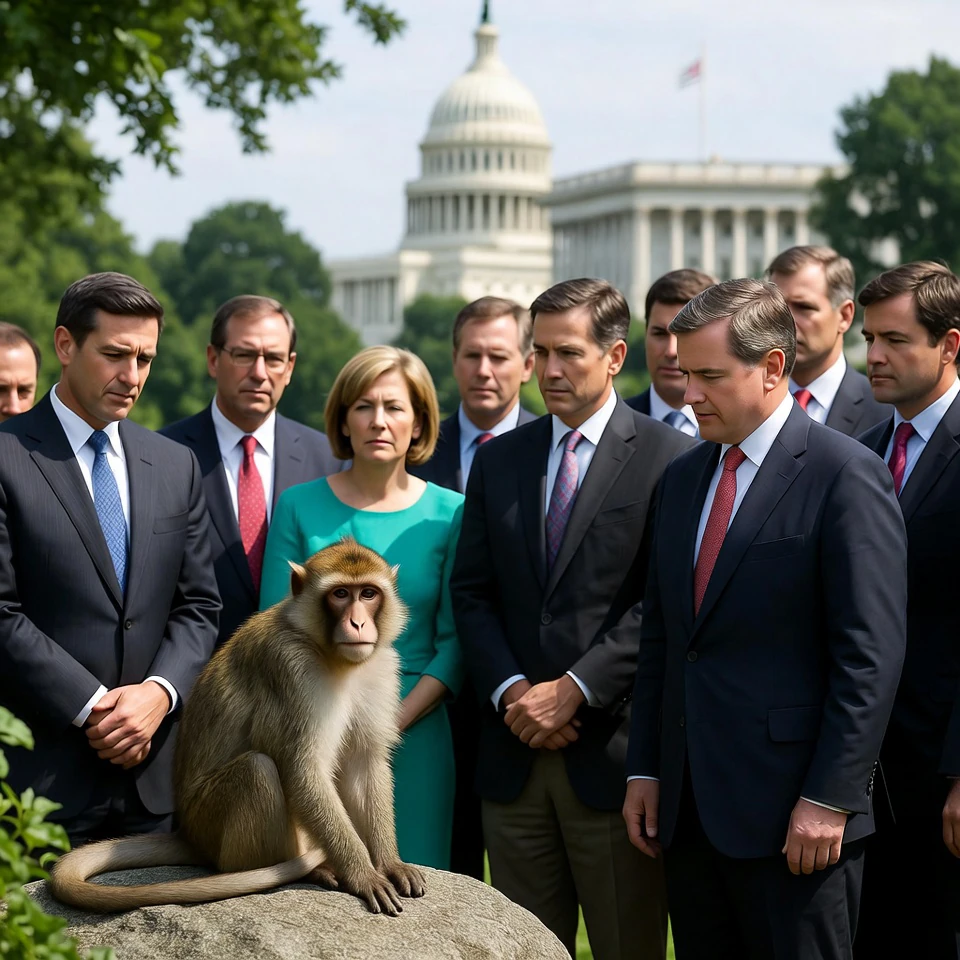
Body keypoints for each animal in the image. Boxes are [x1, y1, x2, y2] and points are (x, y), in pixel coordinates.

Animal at [48, 538, 425, 916]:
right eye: (341, 594)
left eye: (368, 594)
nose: (358, 623)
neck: (328, 653)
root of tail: (189, 835)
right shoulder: (290, 669)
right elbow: (302, 770)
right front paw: (362, 873)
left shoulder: (381, 667)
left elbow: (363, 762)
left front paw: (389, 864)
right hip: (209, 822)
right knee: (257, 770)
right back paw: (302, 868)